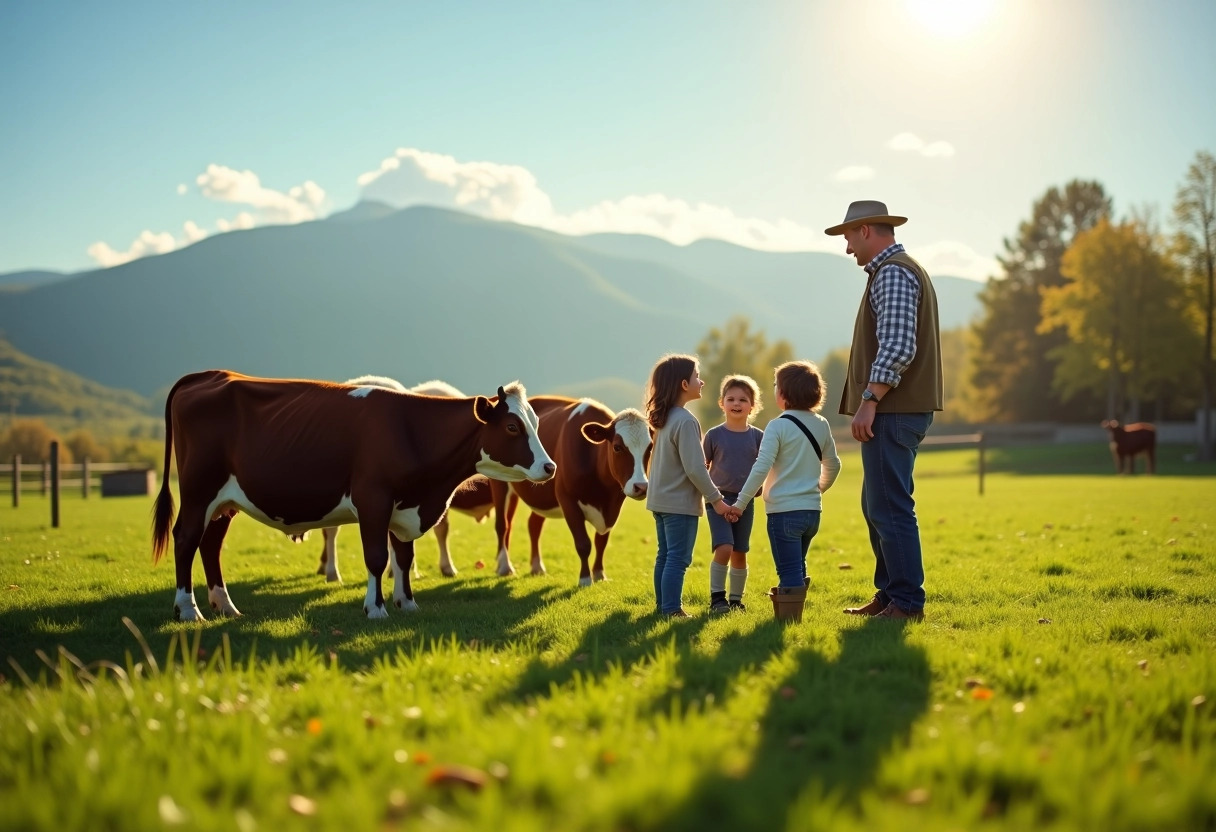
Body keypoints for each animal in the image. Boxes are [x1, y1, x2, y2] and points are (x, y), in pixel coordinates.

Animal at [488, 396, 651, 583]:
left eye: (650, 447)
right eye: (617, 447)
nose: (641, 486)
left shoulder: (613, 507)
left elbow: (601, 541)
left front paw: (599, 574)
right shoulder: (568, 500)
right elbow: (583, 543)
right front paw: (585, 579)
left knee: (533, 525)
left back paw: (536, 566)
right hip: (499, 481)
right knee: (503, 524)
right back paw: (504, 566)